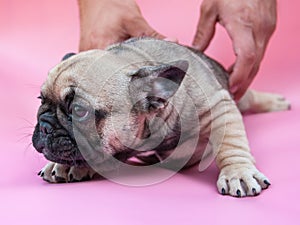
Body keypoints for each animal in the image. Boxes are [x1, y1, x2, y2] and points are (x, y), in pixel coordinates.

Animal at [32, 38, 290, 197]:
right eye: (40, 99)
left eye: (79, 111)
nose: (44, 126)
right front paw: (67, 165)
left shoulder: (219, 106)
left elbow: (230, 143)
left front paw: (238, 172)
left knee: (249, 100)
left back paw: (276, 102)